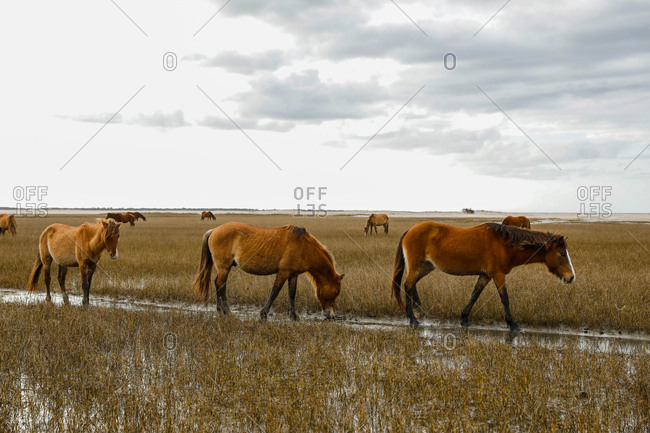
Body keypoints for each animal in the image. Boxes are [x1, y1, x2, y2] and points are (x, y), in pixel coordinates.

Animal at [193, 222, 344, 320]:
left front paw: (294, 316)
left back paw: (220, 310)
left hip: (223, 268)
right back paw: (227, 312)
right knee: (221, 285)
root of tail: (213, 230)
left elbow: (292, 294)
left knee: (218, 284)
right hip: (224, 267)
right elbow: (274, 292)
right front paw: (263, 314)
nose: (330, 315)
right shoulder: (283, 272)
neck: (303, 247)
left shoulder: (293, 274)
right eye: (337, 291)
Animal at [391, 221, 575, 330]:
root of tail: (410, 230)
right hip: (418, 266)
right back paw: (412, 318)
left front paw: (464, 318)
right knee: (408, 285)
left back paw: (417, 309)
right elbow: (505, 298)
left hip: (426, 267)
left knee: (411, 285)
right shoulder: (498, 275)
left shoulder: (485, 276)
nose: (571, 277)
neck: (505, 244)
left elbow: (475, 295)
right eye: (562, 254)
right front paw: (512, 324)